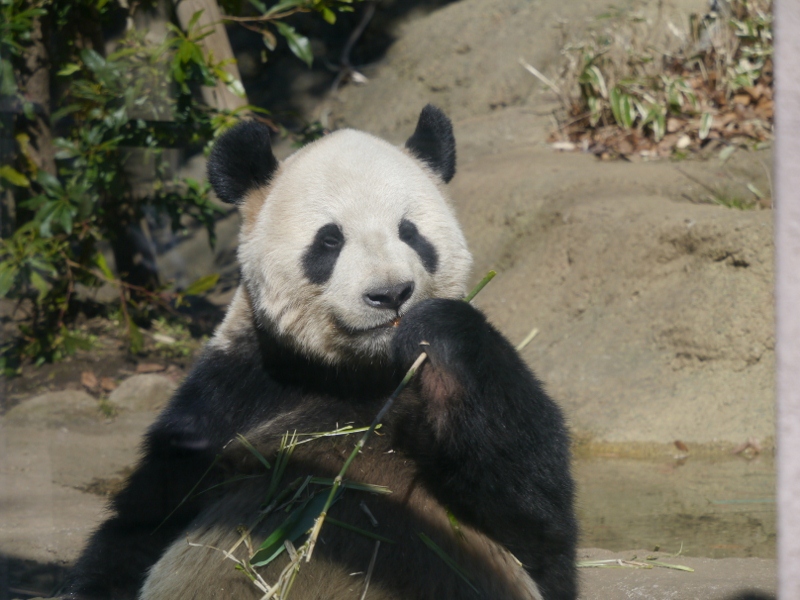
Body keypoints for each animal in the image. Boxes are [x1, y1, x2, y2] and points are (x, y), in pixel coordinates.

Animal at [62, 105, 576, 596]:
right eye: (330, 240)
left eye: (410, 232)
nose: (390, 294)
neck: (359, 372)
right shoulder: (236, 394)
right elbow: (144, 522)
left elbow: (534, 518)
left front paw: (437, 336)